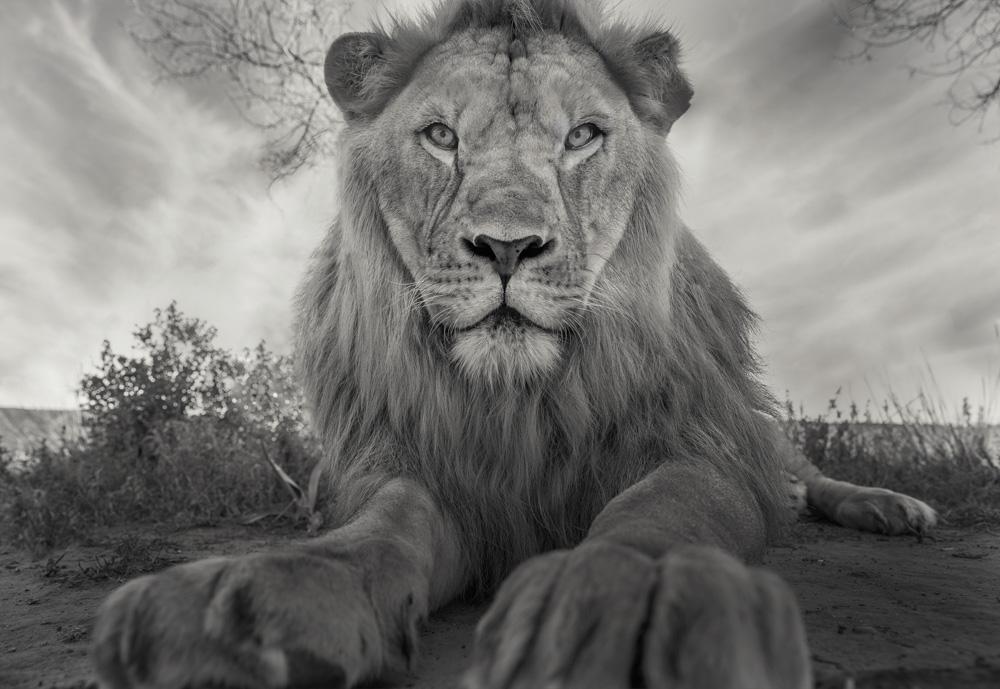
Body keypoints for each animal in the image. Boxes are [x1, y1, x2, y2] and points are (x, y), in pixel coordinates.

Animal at [92, 1, 937, 688]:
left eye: (582, 137)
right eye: (440, 137)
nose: (506, 246)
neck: (517, 400)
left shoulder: (704, 444)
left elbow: (654, 516)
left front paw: (617, 616)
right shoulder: (418, 466)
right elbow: (379, 530)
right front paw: (250, 611)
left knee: (804, 474)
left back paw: (892, 504)